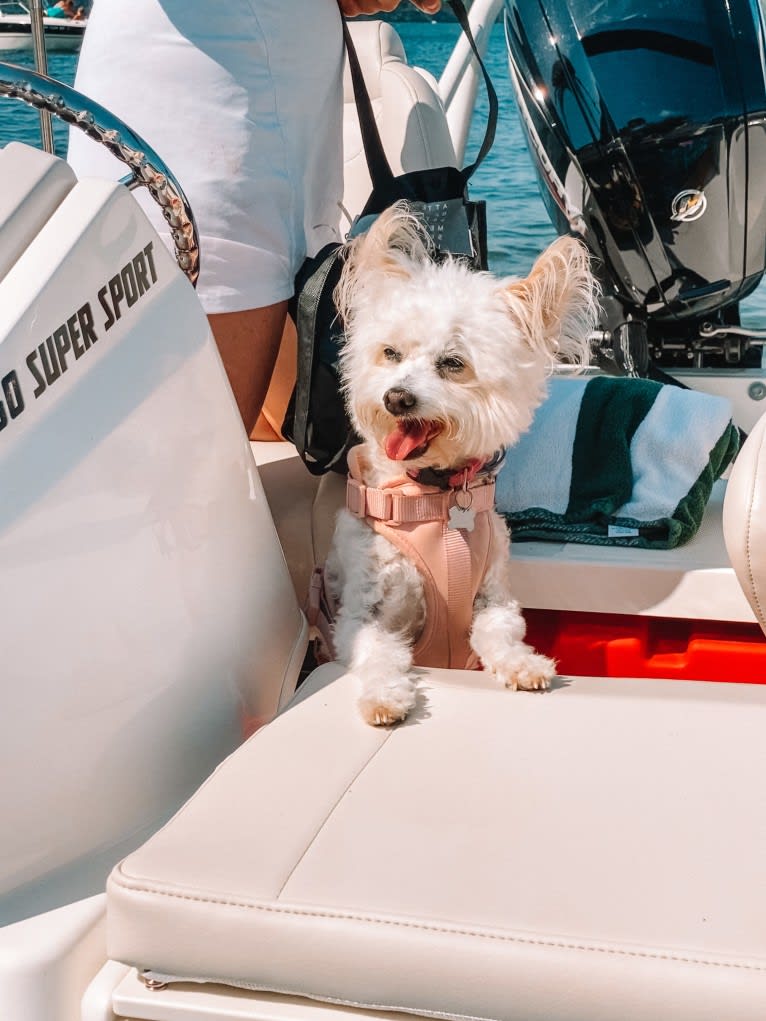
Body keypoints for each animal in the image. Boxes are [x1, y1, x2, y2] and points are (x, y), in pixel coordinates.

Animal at [320, 201, 596, 726]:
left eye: (452, 363)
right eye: (390, 353)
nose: (397, 397)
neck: (434, 497)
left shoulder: (492, 596)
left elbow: (500, 632)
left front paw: (523, 665)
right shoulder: (363, 612)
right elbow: (378, 651)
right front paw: (385, 696)